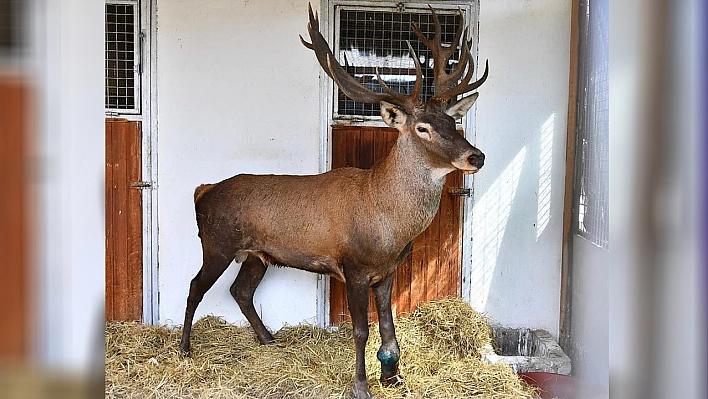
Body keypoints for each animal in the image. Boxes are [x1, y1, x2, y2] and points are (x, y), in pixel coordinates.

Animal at [178, 3, 486, 399]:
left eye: (452, 121)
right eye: (423, 128)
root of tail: (203, 191)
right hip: (216, 243)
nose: (476, 156)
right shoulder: (353, 266)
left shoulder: (388, 270)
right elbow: (362, 330)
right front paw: (362, 385)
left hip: (258, 254)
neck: (389, 224)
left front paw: (393, 375)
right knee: (195, 286)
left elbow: (388, 327)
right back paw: (185, 348)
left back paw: (269, 340)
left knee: (240, 290)